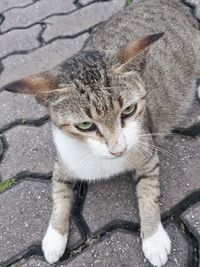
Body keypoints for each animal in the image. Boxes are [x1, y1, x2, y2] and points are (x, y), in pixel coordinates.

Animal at [2, 0, 200, 267]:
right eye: (85, 126)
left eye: (129, 110)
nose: (119, 149)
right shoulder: (62, 162)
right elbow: (58, 194)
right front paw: (54, 236)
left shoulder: (147, 152)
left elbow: (149, 191)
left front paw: (153, 237)